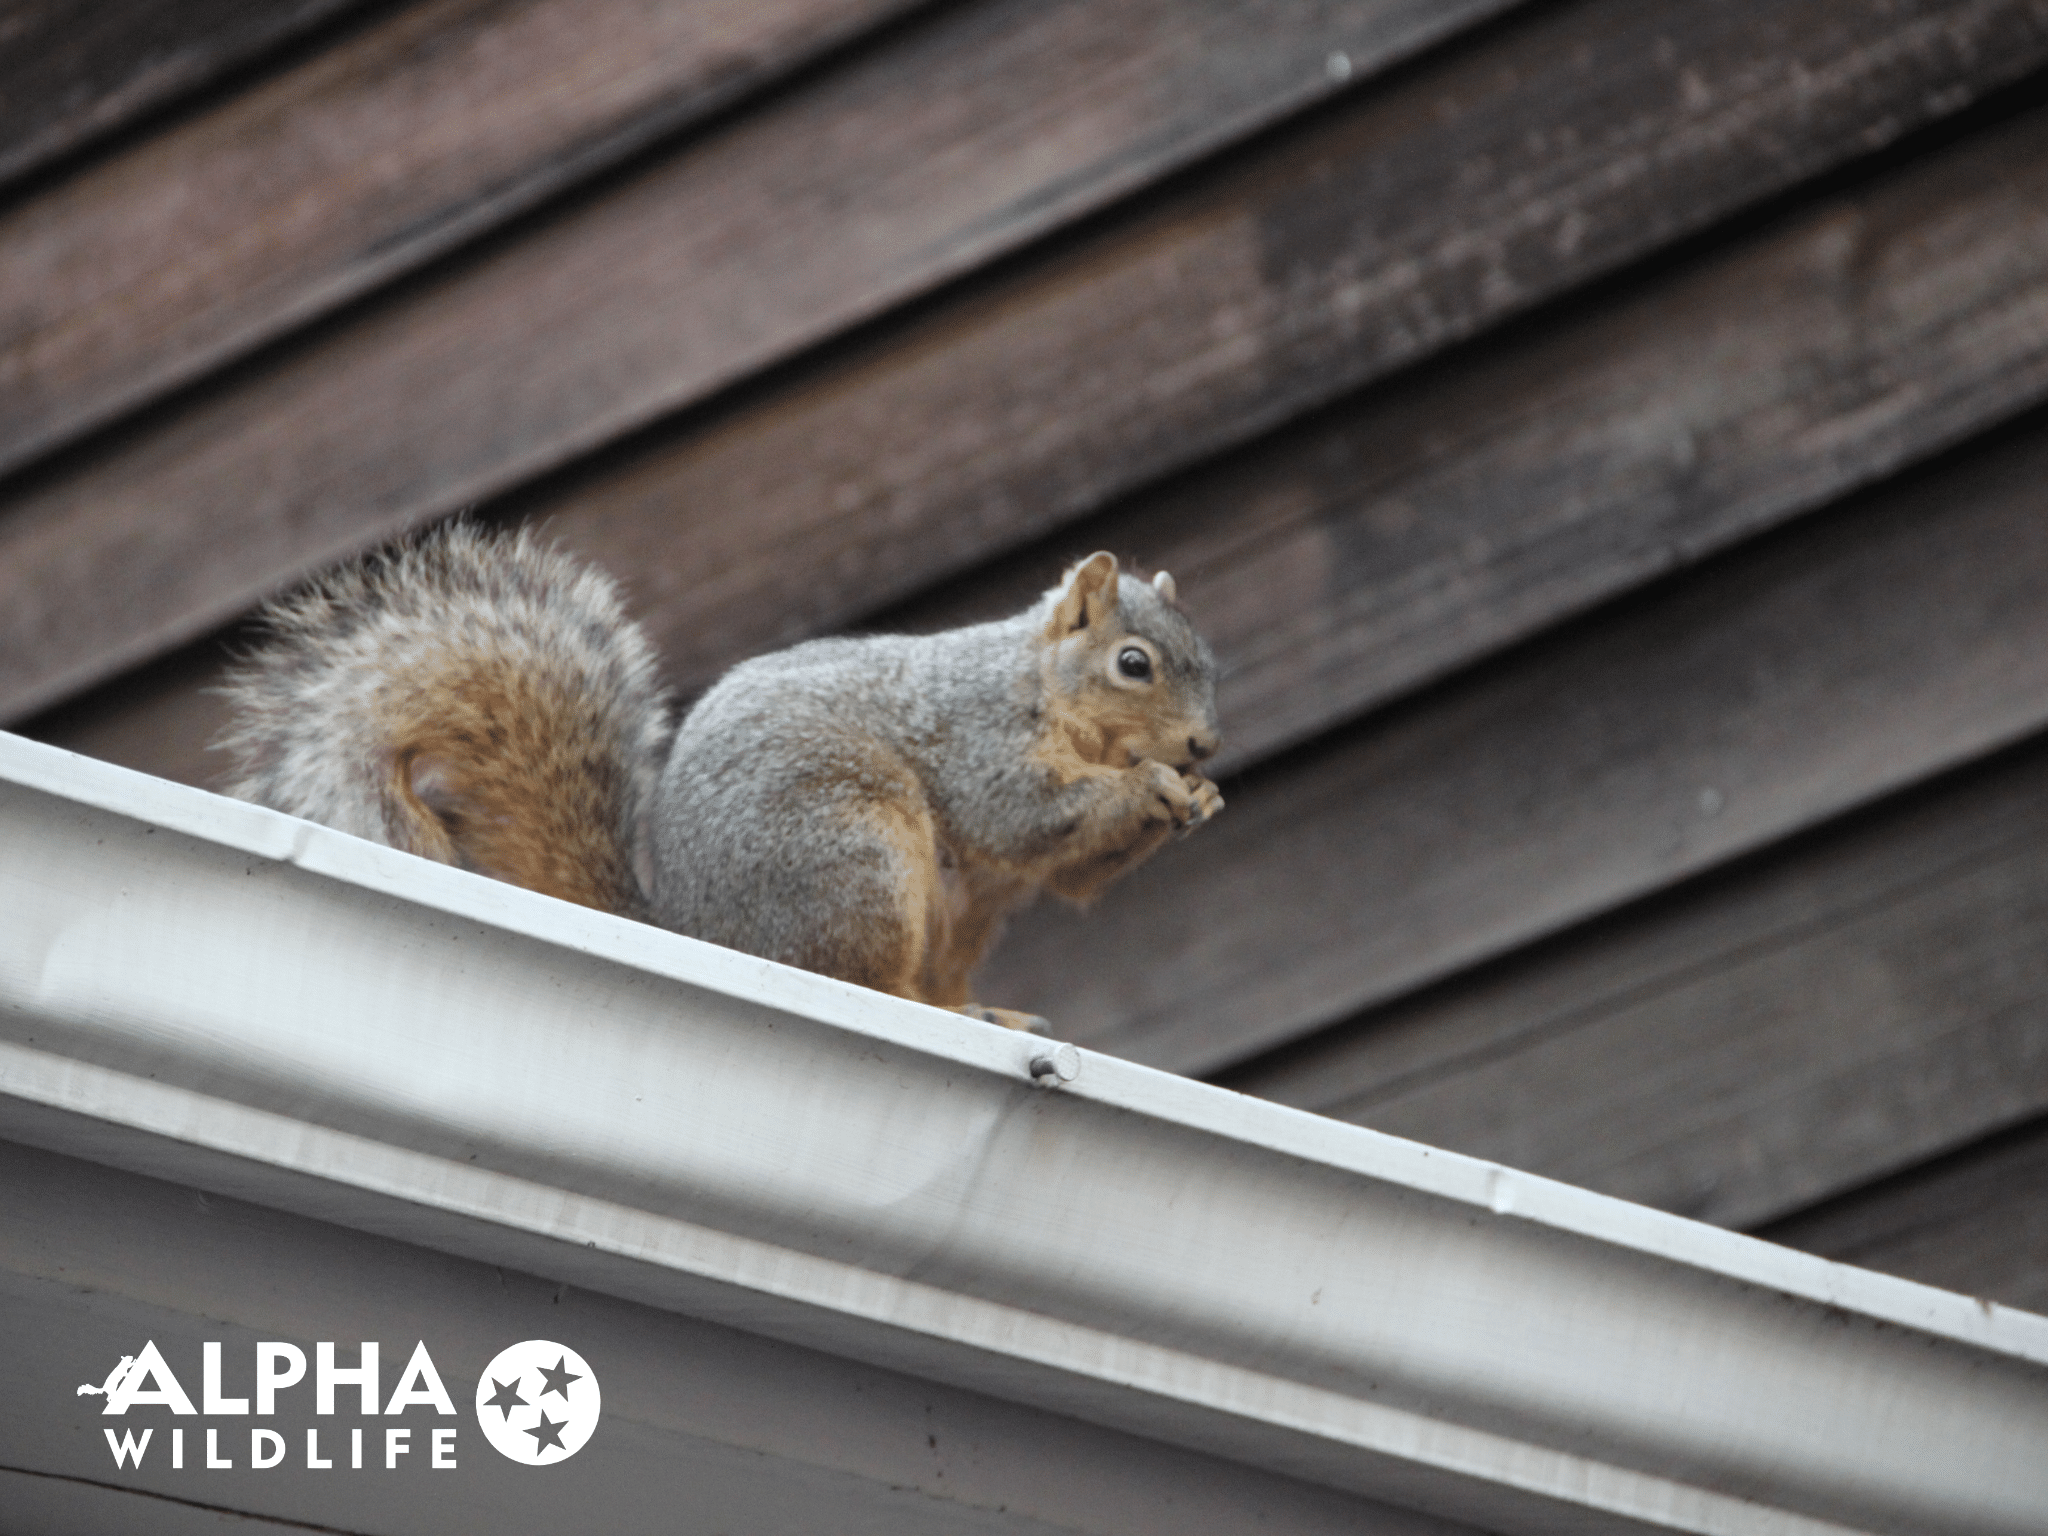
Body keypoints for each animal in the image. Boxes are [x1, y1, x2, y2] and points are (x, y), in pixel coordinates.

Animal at [216, 524, 1220, 1040]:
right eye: (1134, 664)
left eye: (1207, 661)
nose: (1205, 745)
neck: (1043, 689)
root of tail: (700, 932)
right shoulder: (980, 738)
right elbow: (1025, 816)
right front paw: (1153, 787)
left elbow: (1072, 875)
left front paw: (1197, 799)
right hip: (853, 854)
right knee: (863, 980)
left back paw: (987, 1013)